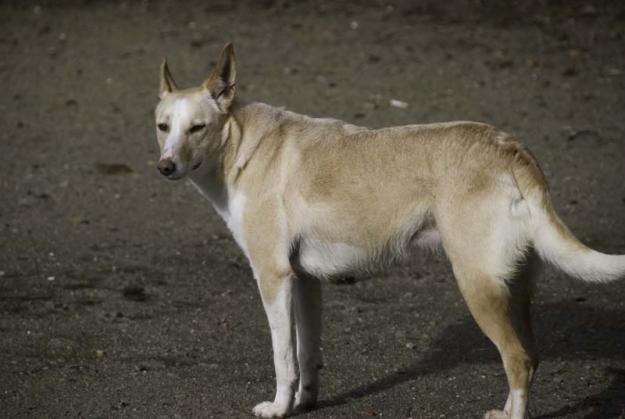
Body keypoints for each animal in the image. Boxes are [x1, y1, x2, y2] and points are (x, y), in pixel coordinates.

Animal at [152, 44, 624, 418]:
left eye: (198, 128)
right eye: (163, 127)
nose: (165, 167)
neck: (241, 143)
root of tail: (510, 149)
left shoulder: (273, 277)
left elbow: (282, 356)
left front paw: (278, 408)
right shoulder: (304, 282)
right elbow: (307, 353)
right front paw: (305, 403)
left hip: (478, 286)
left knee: (518, 360)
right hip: (515, 291)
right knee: (530, 356)